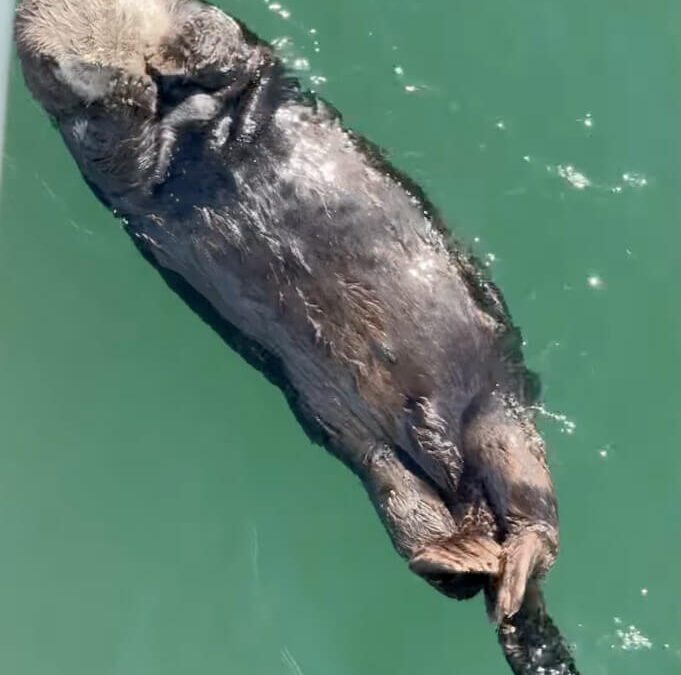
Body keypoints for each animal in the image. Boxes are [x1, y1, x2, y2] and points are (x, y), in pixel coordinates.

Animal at [14, 1, 579, 672]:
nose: (133, 72)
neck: (179, 112)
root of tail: (463, 494)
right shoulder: (101, 150)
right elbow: (118, 144)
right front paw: (127, 88)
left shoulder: (233, 48)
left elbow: (222, 47)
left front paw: (168, 57)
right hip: (358, 443)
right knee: (420, 526)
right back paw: (465, 559)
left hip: (495, 411)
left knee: (535, 511)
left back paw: (514, 562)